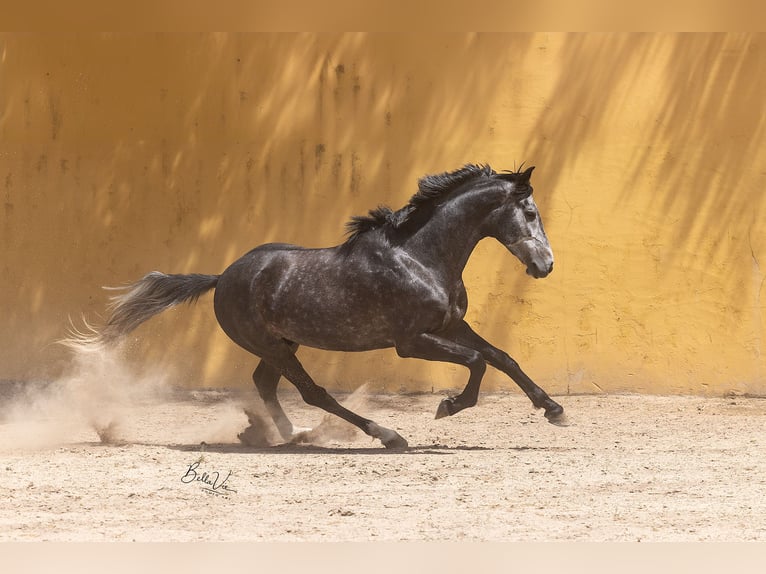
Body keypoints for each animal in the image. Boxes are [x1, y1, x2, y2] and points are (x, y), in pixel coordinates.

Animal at [78, 162, 568, 450]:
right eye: (530, 213)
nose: (545, 265)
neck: (420, 256)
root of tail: (223, 278)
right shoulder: (411, 341)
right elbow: (477, 363)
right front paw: (448, 406)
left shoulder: (451, 326)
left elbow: (501, 357)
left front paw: (554, 410)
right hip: (272, 346)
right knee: (312, 392)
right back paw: (384, 434)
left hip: (283, 344)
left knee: (266, 384)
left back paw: (290, 435)